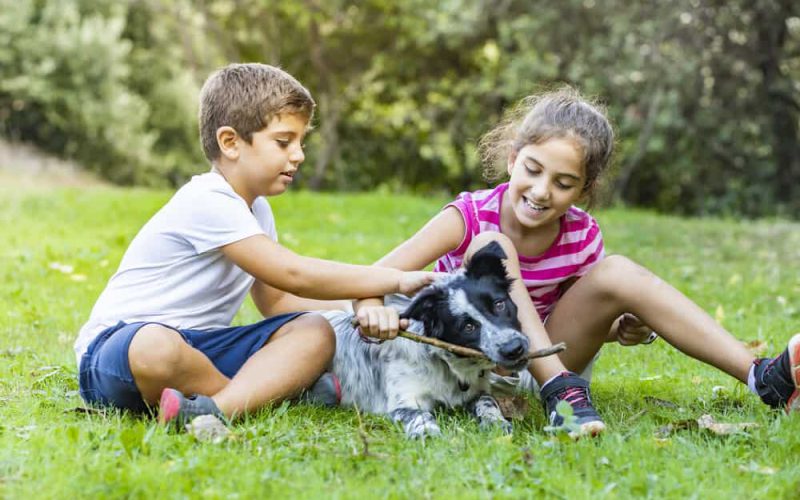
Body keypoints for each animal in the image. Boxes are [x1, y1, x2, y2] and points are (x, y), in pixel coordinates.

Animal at [324, 241, 532, 438]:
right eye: (468, 327)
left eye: (499, 304)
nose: (514, 349)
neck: (447, 366)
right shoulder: (403, 401)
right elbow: (420, 415)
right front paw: (427, 432)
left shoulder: (477, 392)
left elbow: (488, 401)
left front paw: (496, 423)